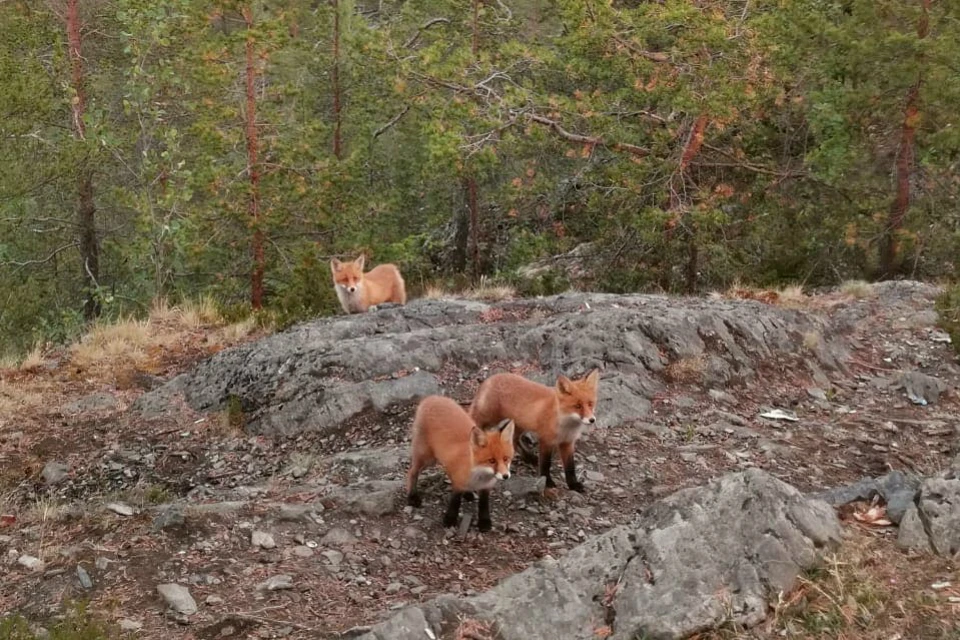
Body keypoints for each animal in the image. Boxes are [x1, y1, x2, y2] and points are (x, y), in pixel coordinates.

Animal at [410, 398, 520, 532]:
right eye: (492, 461)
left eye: (505, 459)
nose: (505, 476)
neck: (479, 476)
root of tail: (432, 398)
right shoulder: (458, 483)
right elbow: (455, 502)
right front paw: (450, 519)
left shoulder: (486, 487)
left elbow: (484, 505)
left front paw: (484, 522)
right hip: (427, 458)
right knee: (411, 472)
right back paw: (412, 496)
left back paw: (468, 493)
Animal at [466, 370, 596, 490]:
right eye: (577, 406)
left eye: (590, 404)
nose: (592, 420)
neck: (566, 425)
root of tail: (490, 378)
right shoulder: (546, 440)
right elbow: (545, 464)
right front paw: (548, 482)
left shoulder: (568, 442)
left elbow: (570, 467)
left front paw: (573, 484)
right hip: (485, 419)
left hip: (519, 425)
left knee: (514, 441)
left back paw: (529, 457)